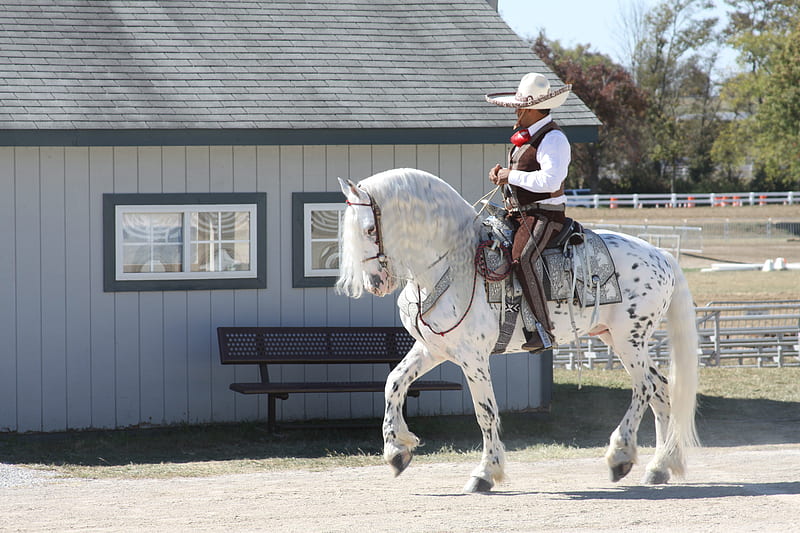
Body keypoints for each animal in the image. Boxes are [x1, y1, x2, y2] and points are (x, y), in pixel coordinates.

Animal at [338, 168, 700, 492]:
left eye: (369, 230)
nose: (375, 283)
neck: (452, 265)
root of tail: (661, 254)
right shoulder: (433, 349)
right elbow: (394, 383)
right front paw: (396, 450)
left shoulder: (474, 358)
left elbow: (486, 413)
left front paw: (486, 472)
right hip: (616, 337)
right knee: (661, 389)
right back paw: (660, 467)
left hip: (629, 340)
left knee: (644, 388)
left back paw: (620, 455)